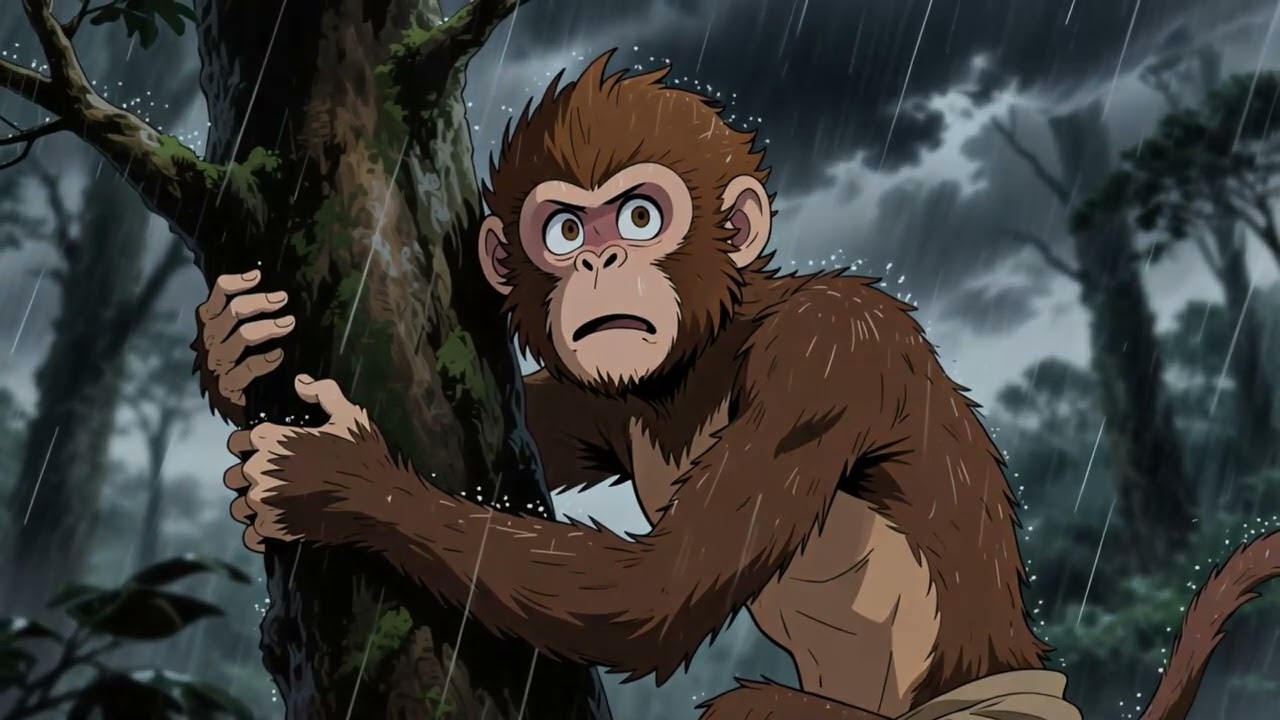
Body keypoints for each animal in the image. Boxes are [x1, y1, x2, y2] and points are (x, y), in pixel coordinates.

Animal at [194, 51, 1280, 720]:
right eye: (563, 229)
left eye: (638, 216)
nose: (599, 263)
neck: (710, 355)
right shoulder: (612, 395)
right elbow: (551, 427)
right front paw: (232, 346)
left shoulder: (828, 351)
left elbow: (657, 590)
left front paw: (343, 483)